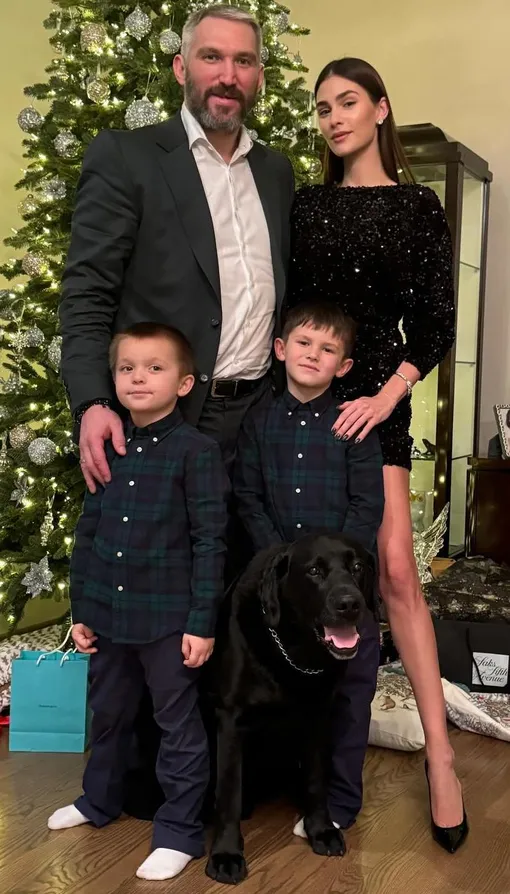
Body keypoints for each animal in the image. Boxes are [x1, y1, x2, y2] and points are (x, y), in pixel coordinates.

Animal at [204, 532, 377, 885]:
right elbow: (228, 792)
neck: (294, 652)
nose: (349, 604)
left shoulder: (319, 715)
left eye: (357, 567)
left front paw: (321, 830)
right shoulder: (229, 719)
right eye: (314, 571)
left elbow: (316, 780)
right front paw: (226, 854)